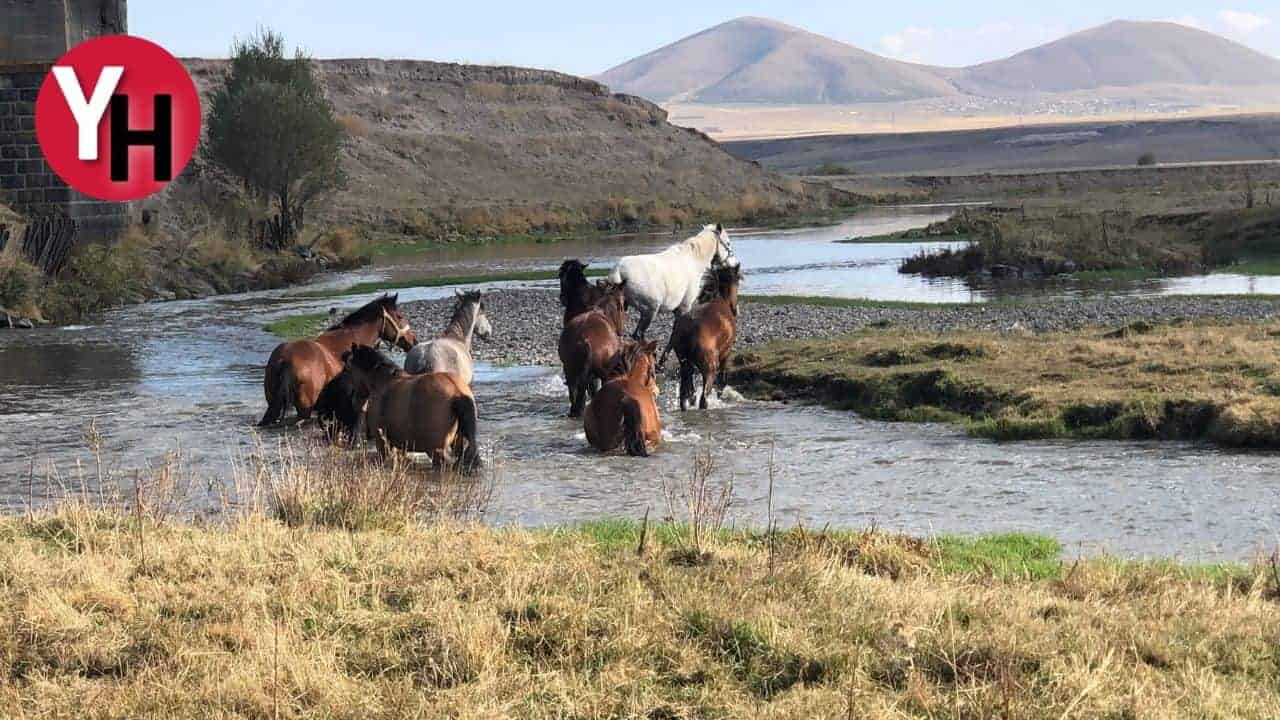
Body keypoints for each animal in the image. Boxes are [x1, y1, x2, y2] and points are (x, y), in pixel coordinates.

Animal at [340, 343, 481, 471]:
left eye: (349, 369)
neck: (383, 382)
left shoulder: (382, 443)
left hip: (436, 450)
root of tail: (457, 392)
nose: (355, 401)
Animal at [665, 263, 747, 409]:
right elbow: (722, 379)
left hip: (685, 364)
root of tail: (688, 329)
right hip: (709, 368)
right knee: (703, 399)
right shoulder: (726, 353)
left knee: (684, 396)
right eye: (737, 281)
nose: (735, 309)